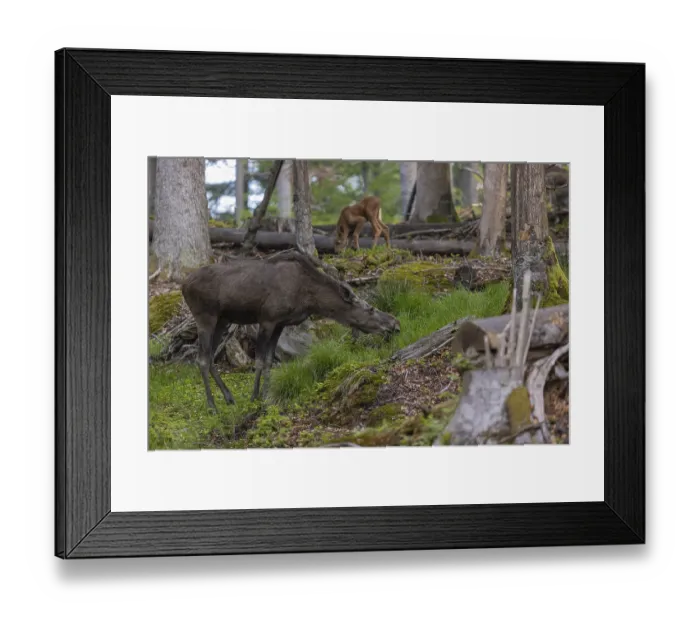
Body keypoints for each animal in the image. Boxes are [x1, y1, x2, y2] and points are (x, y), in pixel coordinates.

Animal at [181, 251, 400, 411]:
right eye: (370, 309)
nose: (395, 324)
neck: (310, 299)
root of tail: (183, 286)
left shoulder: (280, 323)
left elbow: (269, 360)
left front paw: (266, 396)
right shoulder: (267, 319)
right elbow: (259, 361)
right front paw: (255, 398)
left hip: (223, 320)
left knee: (209, 357)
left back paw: (228, 397)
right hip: (206, 317)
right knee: (201, 359)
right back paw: (212, 406)